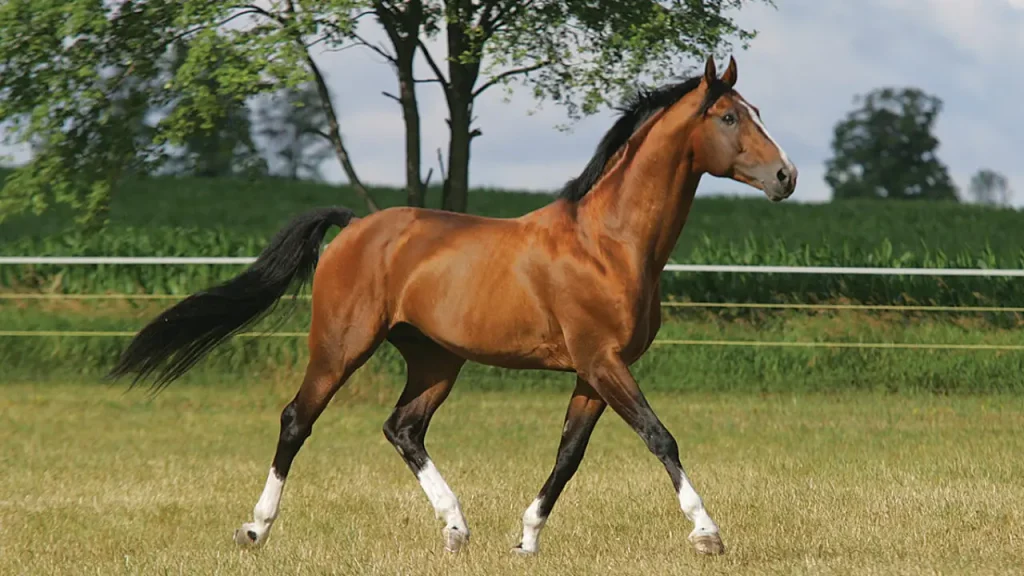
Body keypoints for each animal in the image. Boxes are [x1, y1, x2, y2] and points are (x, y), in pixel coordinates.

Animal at [112, 56, 798, 553]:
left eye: (757, 111)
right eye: (729, 117)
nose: (786, 177)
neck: (610, 244)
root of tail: (355, 226)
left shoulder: (594, 371)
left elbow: (569, 455)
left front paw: (526, 540)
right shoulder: (602, 362)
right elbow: (661, 438)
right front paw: (707, 533)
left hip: (436, 359)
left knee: (402, 427)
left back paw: (456, 528)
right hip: (340, 347)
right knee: (296, 421)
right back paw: (255, 529)